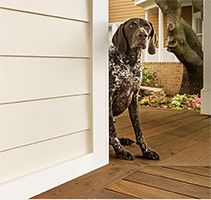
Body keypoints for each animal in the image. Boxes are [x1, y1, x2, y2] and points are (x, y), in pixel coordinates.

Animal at [109, 18, 160, 160]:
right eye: (131, 26)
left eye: (147, 26)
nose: (142, 35)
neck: (129, 63)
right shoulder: (109, 97)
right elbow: (112, 132)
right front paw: (120, 151)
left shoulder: (134, 98)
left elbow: (138, 130)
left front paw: (147, 151)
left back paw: (124, 140)